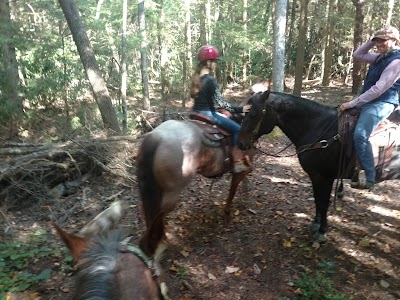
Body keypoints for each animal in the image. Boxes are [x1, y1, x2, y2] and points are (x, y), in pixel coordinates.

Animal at [136, 111, 255, 250]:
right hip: (171, 193)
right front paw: (227, 210)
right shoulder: (242, 170)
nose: (244, 143)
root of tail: (156, 138)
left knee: (150, 211)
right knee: (158, 213)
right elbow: (233, 190)